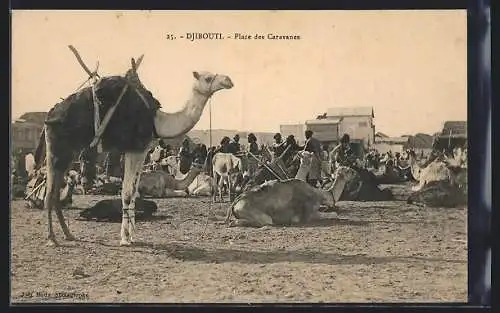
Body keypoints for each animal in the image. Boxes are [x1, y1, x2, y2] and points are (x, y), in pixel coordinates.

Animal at [36, 54, 233, 245]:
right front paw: (124, 239)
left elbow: (133, 191)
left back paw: (68, 234)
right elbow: (128, 193)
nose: (228, 80)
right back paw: (52, 239)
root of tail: (51, 114)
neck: (157, 121)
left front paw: (132, 236)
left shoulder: (142, 151)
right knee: (49, 192)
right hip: (55, 147)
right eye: (208, 78)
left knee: (55, 191)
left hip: (69, 152)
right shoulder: (133, 149)